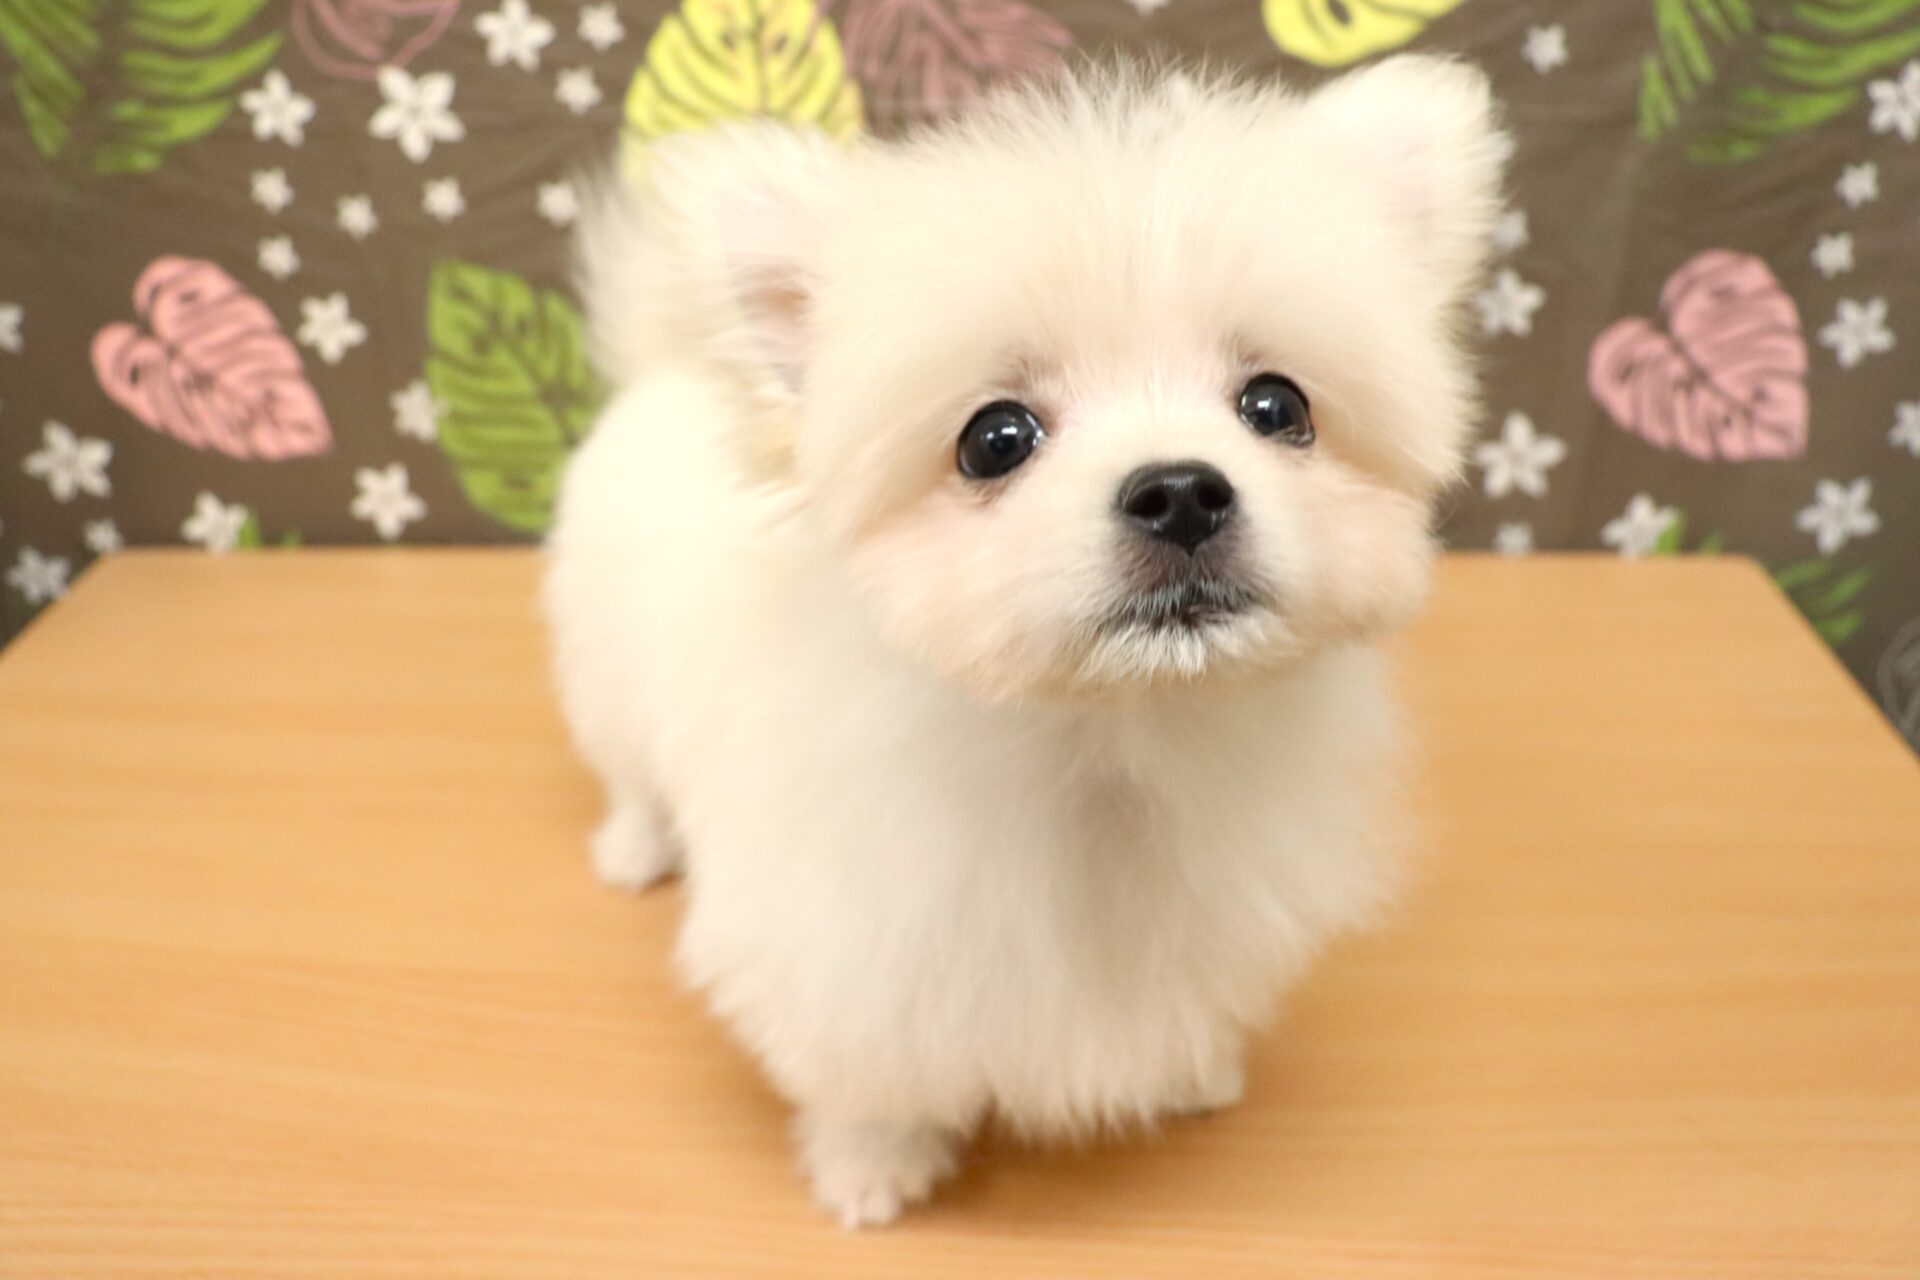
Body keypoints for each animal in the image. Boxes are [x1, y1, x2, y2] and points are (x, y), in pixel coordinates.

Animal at [545, 56, 1507, 1226]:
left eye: (1277, 407)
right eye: (995, 440)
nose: (1181, 490)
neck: (1106, 746)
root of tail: (669, 366)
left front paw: (1195, 1071)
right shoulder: (838, 939)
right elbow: (865, 1069)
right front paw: (871, 1166)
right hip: (607, 673)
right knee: (632, 775)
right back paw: (635, 847)